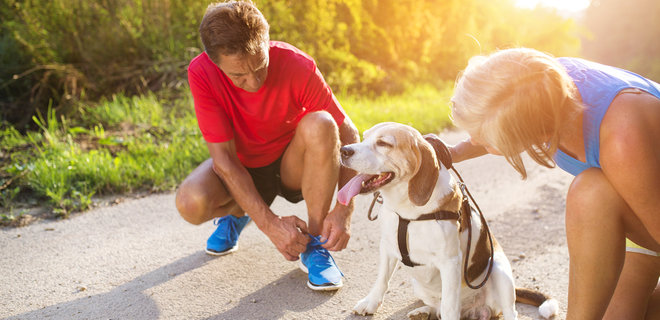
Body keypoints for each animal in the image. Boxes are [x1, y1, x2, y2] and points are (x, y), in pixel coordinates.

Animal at [338, 123, 560, 320]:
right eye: (364, 137)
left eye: (383, 143)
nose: (344, 150)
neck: (408, 211)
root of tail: (473, 309)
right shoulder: (387, 246)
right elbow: (382, 280)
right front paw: (370, 303)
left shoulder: (450, 262)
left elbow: (449, 307)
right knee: (436, 306)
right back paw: (423, 312)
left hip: (498, 269)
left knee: (507, 311)